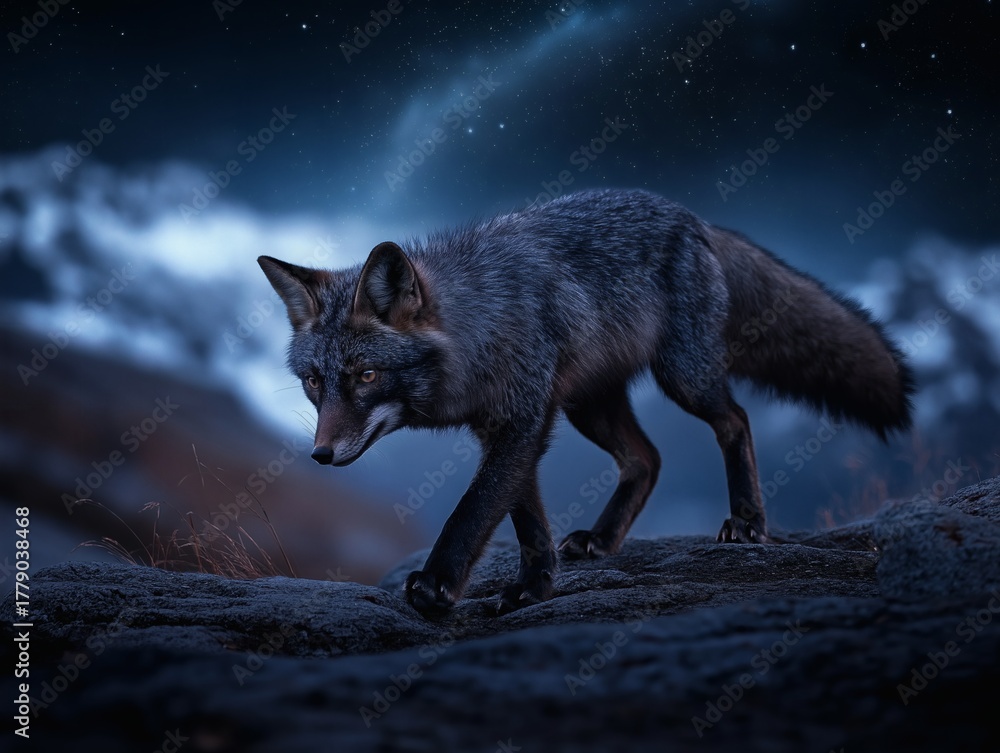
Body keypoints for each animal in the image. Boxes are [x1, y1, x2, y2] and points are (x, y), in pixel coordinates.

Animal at [258, 188, 914, 617]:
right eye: (314, 383)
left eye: (367, 375)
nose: (319, 455)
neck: (479, 327)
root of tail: (692, 216)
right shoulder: (513, 425)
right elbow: (524, 517)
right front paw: (536, 586)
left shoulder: (523, 419)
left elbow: (474, 509)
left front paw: (439, 586)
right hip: (589, 406)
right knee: (647, 459)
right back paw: (603, 540)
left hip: (683, 378)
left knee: (735, 420)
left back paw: (749, 523)